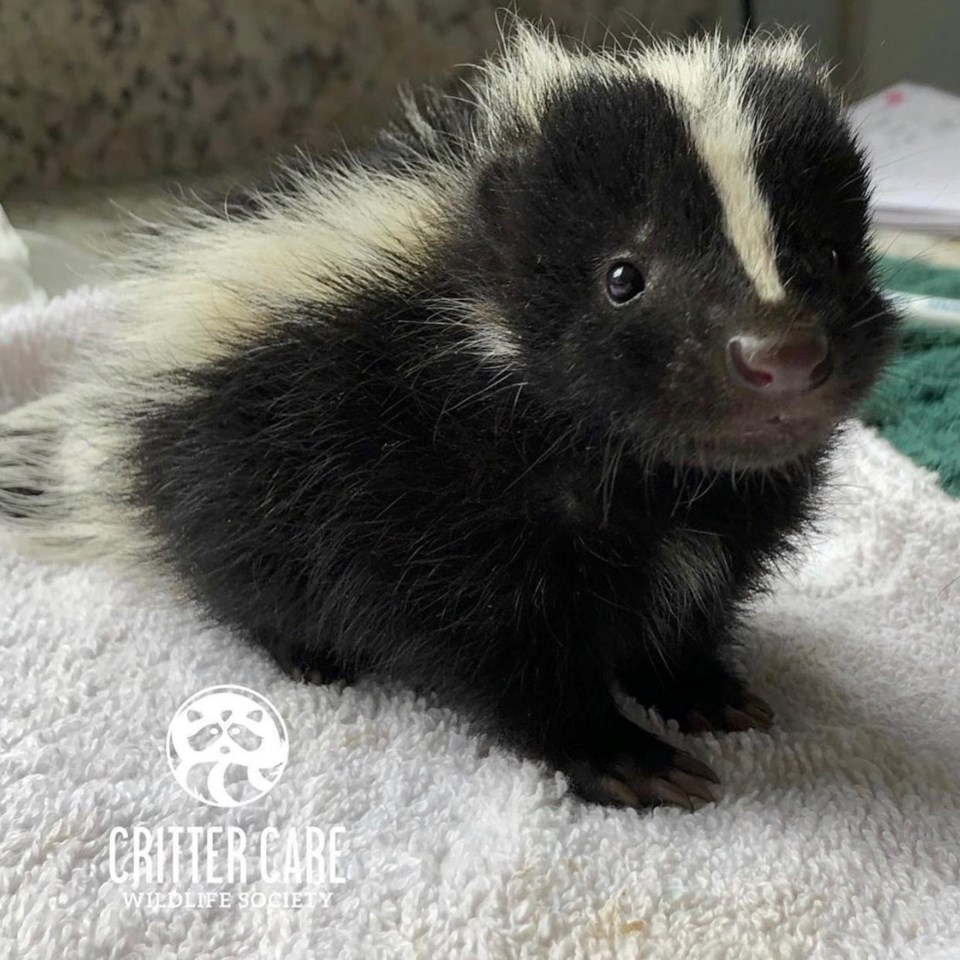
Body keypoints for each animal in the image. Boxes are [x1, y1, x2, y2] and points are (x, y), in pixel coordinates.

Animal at [0, 22, 900, 808]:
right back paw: (311, 658)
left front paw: (701, 690)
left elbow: (692, 609)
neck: (657, 476)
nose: (779, 355)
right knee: (241, 577)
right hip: (238, 475)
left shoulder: (727, 510)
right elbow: (493, 639)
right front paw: (620, 753)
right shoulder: (419, 485)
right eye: (622, 277)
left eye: (827, 254)